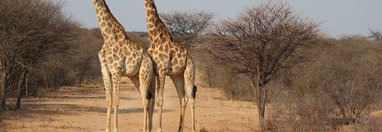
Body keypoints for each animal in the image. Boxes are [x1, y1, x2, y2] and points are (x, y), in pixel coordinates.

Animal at [92, 0, 156, 131]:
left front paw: (116, 129)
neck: (107, 37)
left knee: (146, 100)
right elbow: (108, 101)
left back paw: (145, 129)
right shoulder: (104, 70)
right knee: (147, 99)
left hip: (144, 74)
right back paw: (148, 128)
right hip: (136, 77)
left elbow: (116, 100)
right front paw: (107, 129)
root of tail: (151, 61)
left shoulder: (116, 70)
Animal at [143, 0, 197, 131]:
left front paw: (159, 129)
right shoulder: (154, 71)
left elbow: (160, 100)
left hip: (189, 72)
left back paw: (193, 129)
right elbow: (152, 100)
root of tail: (191, 58)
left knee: (191, 98)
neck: (154, 37)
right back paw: (179, 129)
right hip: (177, 76)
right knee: (183, 98)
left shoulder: (162, 70)